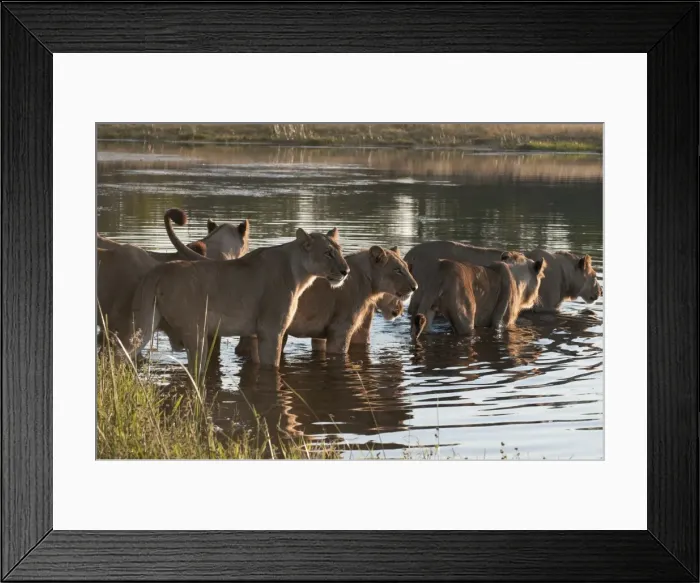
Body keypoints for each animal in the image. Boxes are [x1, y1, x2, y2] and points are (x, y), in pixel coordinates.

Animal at [124, 227, 350, 373]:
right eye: (328, 253)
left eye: (340, 251)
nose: (345, 271)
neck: (299, 271)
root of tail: (157, 272)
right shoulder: (271, 331)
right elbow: (272, 368)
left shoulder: (258, 334)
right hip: (195, 331)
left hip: (144, 324)